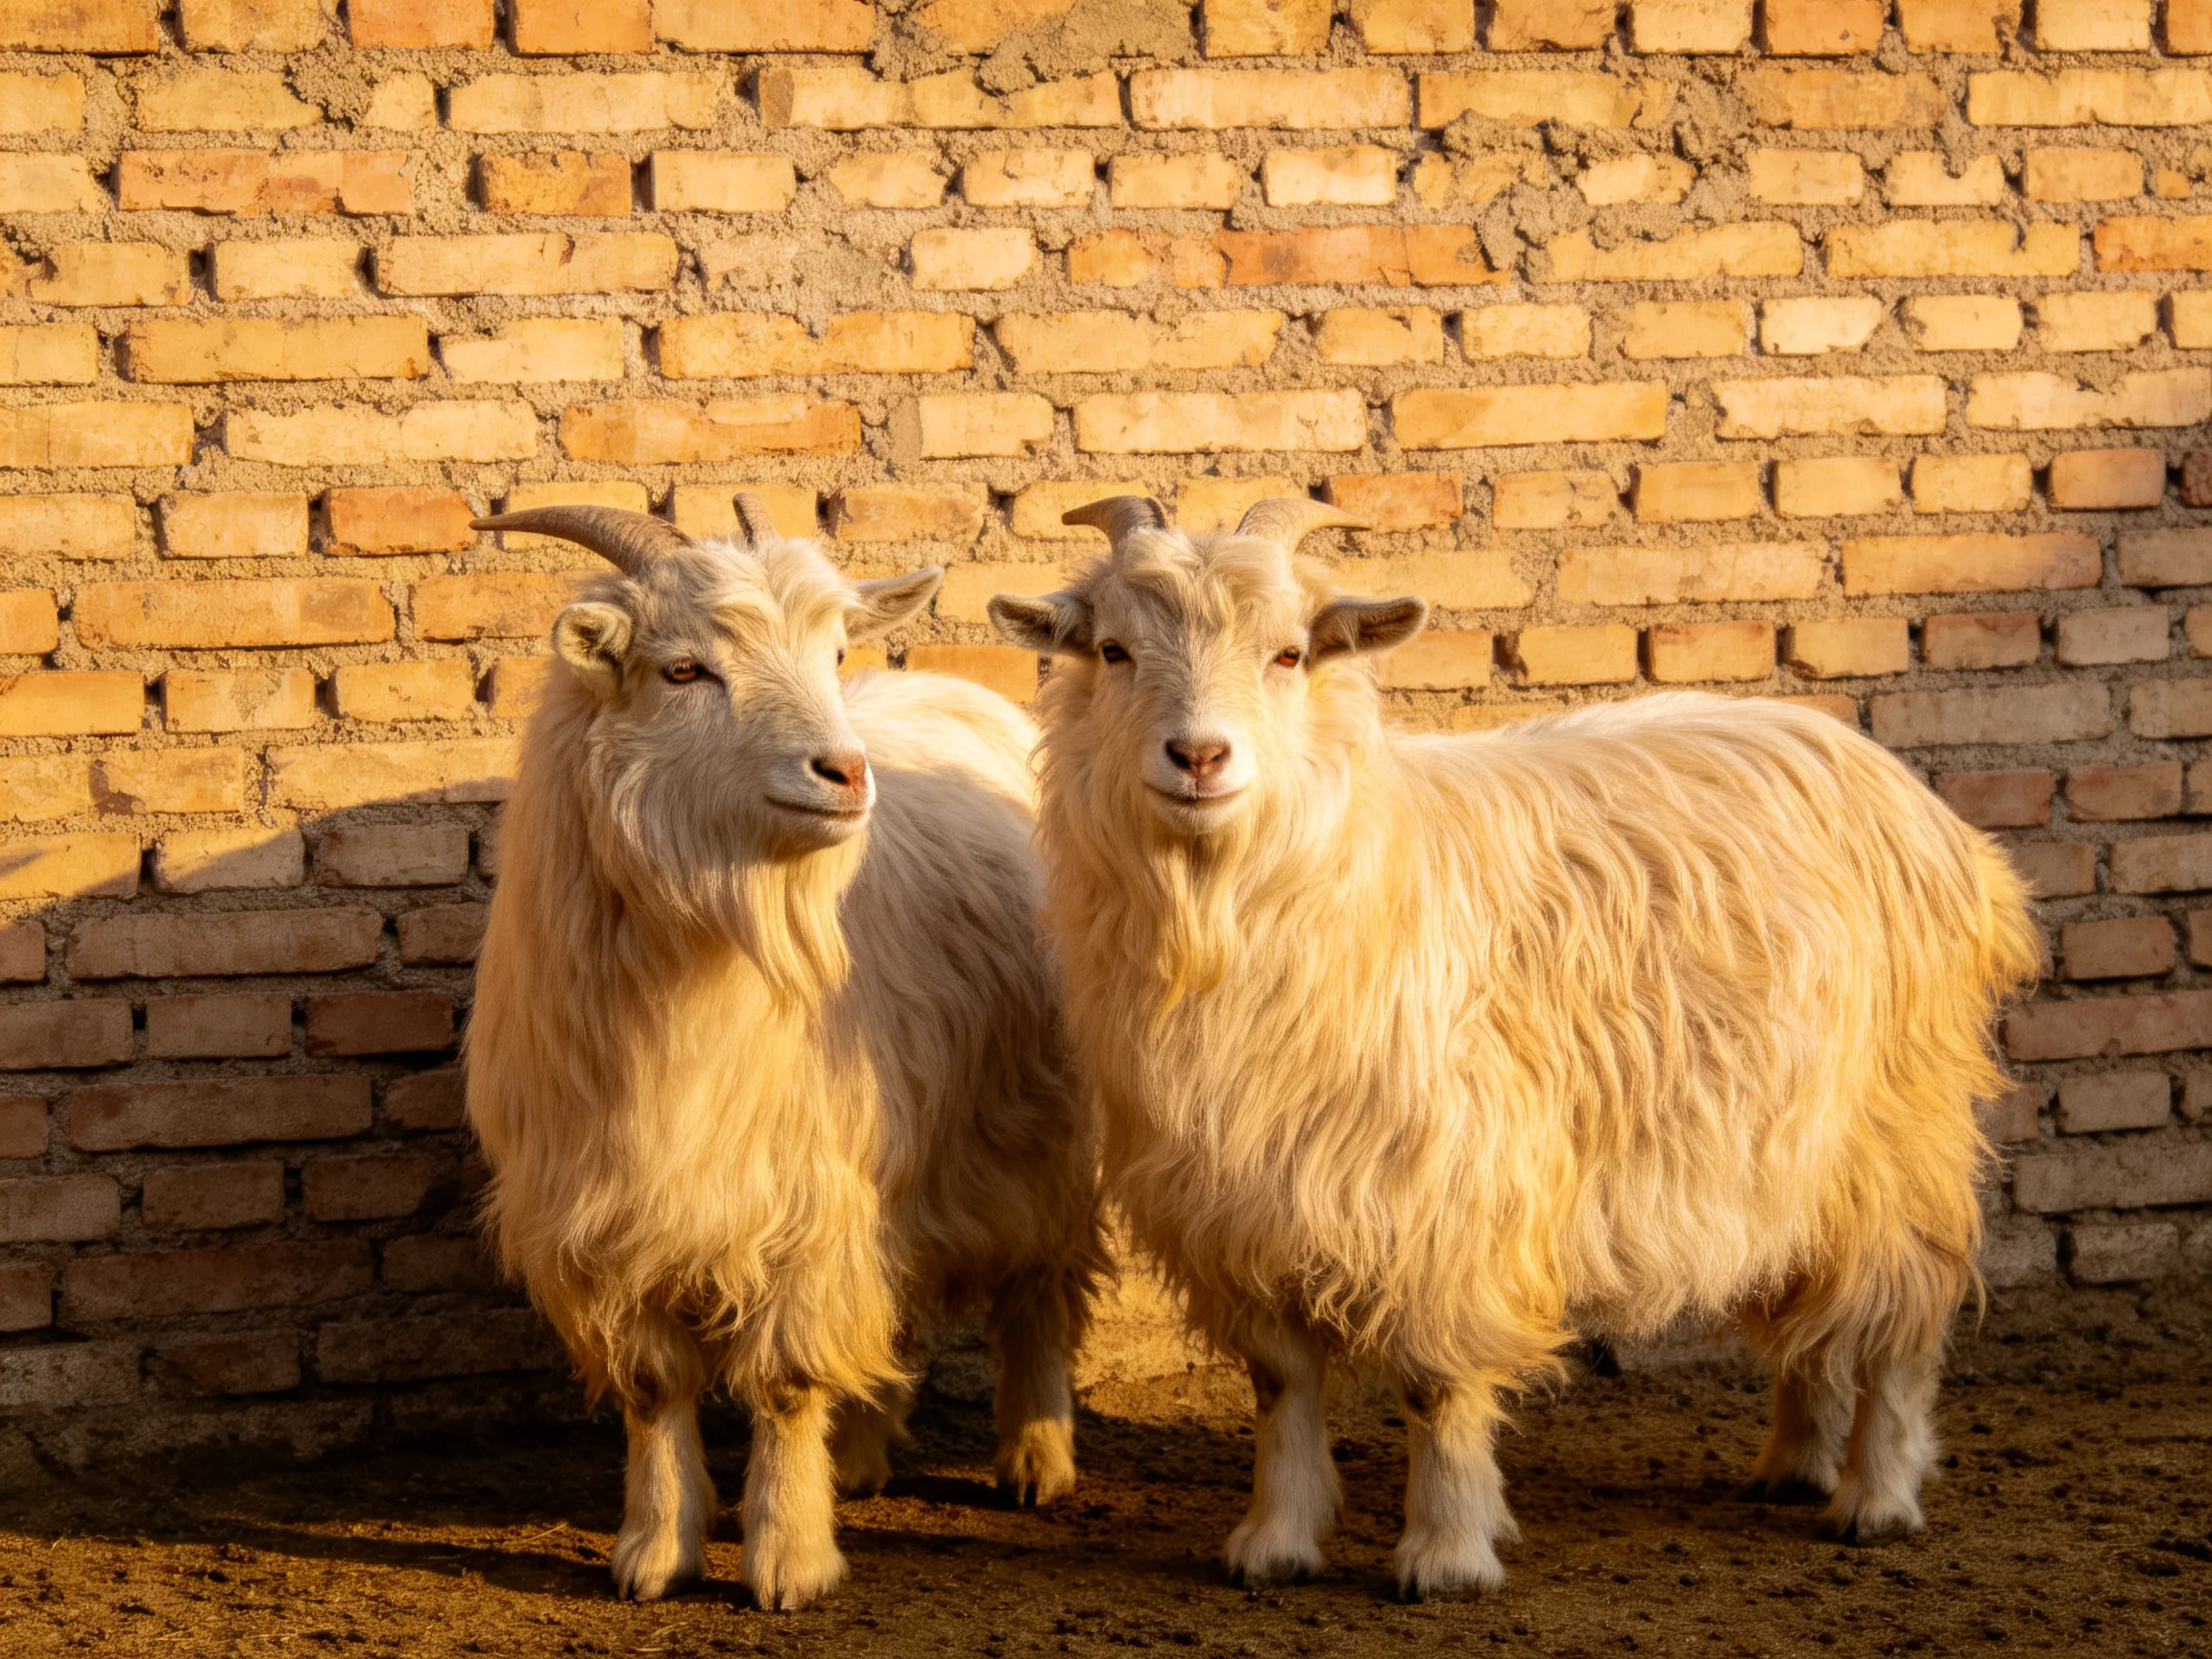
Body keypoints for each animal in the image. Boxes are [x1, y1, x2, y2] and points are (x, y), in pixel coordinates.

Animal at [467, 501, 1103, 1609]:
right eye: (683, 670)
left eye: (834, 651)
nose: (845, 773)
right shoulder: (600, 1214)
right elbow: (653, 1387)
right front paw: (654, 1550)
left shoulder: (805, 1197)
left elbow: (786, 1380)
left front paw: (791, 1559)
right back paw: (865, 1452)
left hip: (1037, 1128)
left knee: (1037, 1284)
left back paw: (1033, 1459)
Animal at [989, 495, 2038, 1599]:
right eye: (1113, 650)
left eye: (1288, 654)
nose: (1198, 758)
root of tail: (1940, 827)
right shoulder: (1235, 1205)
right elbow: (1281, 1383)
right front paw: (1274, 1544)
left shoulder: (1444, 1200)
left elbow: (1434, 1386)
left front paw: (1446, 1555)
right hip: (1790, 1147)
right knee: (1815, 1307)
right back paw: (1791, 1464)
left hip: (1898, 1131)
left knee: (1901, 1318)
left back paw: (1877, 1498)